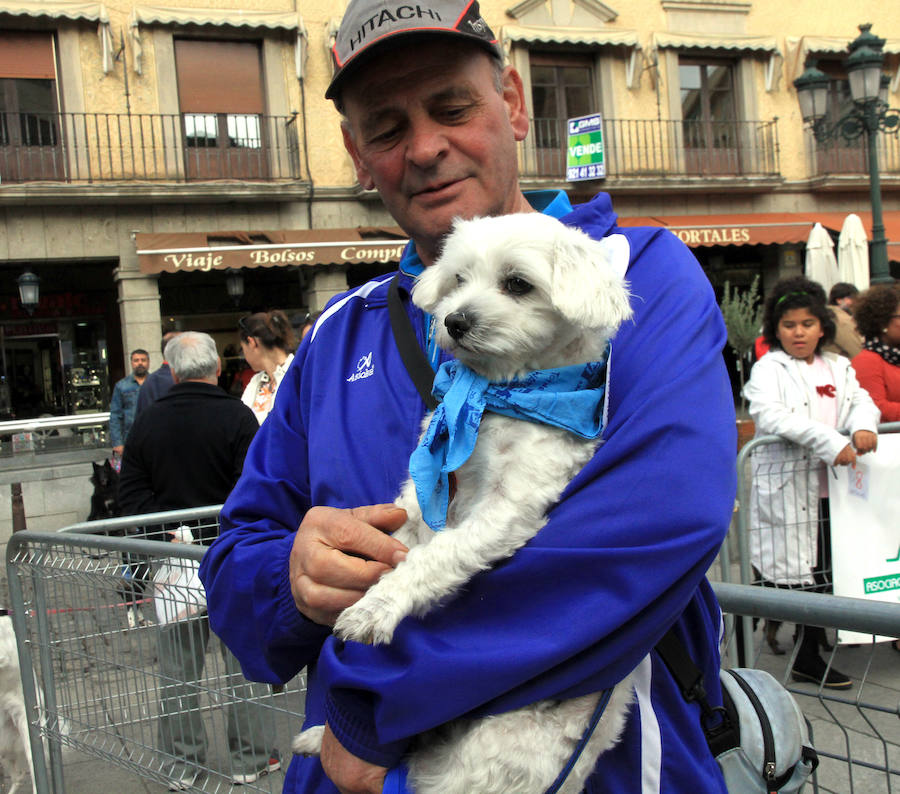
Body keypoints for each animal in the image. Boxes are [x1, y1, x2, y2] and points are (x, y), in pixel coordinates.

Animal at [292, 213, 636, 788]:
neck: (499, 398)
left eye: (517, 283)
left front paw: (375, 608)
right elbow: (406, 533)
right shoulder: (424, 489)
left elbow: (436, 556)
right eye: (457, 279)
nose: (453, 321)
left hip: (483, 758)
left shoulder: (508, 507)